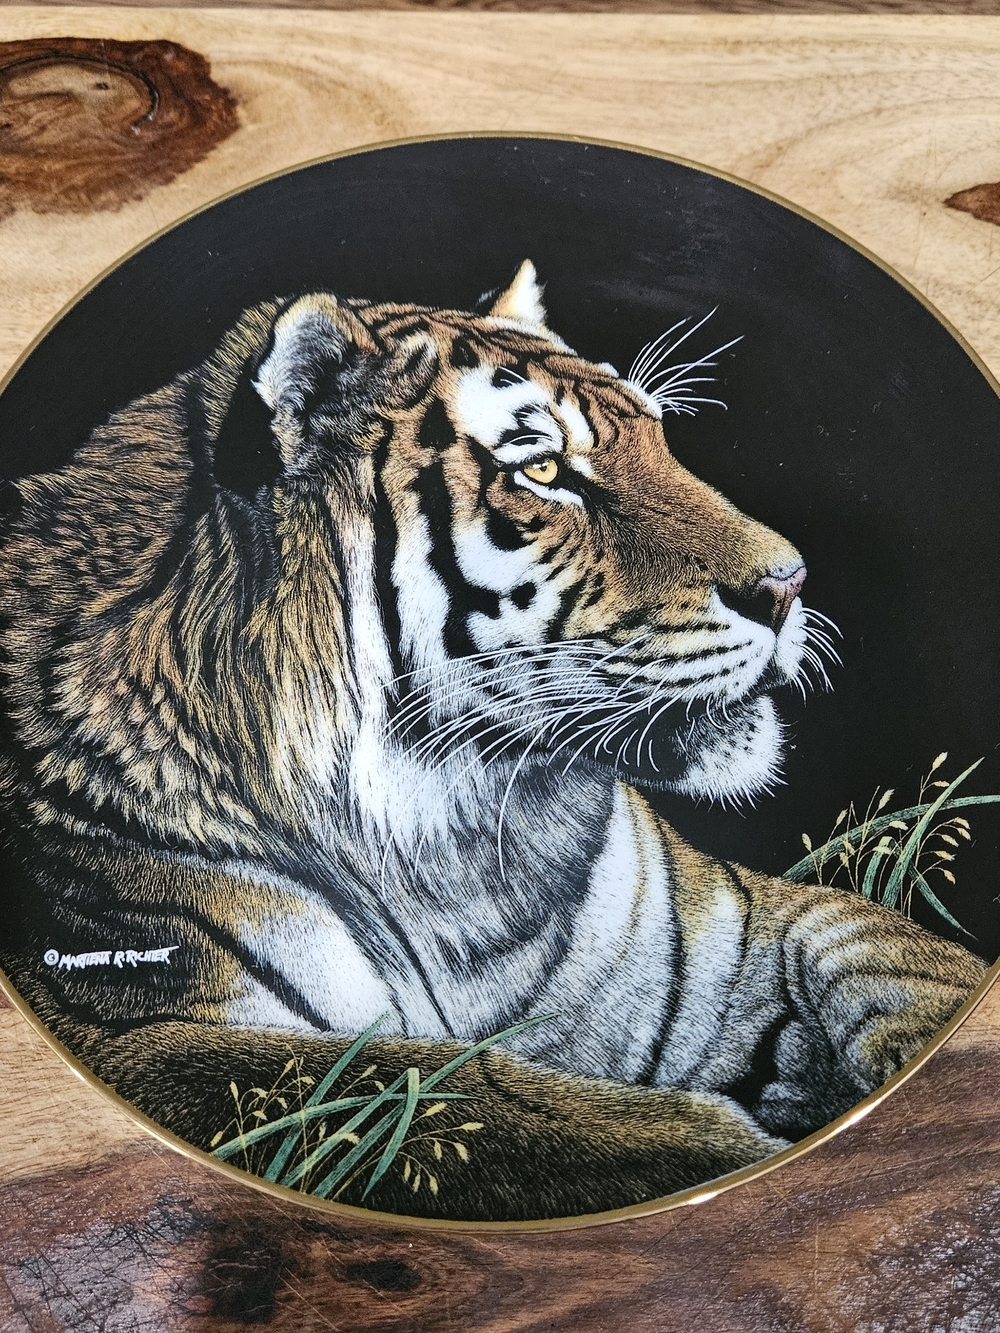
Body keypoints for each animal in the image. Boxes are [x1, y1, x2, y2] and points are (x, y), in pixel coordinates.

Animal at [0, 261, 985, 1222]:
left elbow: (885, 957)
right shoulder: (134, 1027)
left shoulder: (740, 924)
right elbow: (447, 1092)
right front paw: (723, 1145)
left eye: (662, 441)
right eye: (544, 466)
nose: (790, 584)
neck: (466, 855)